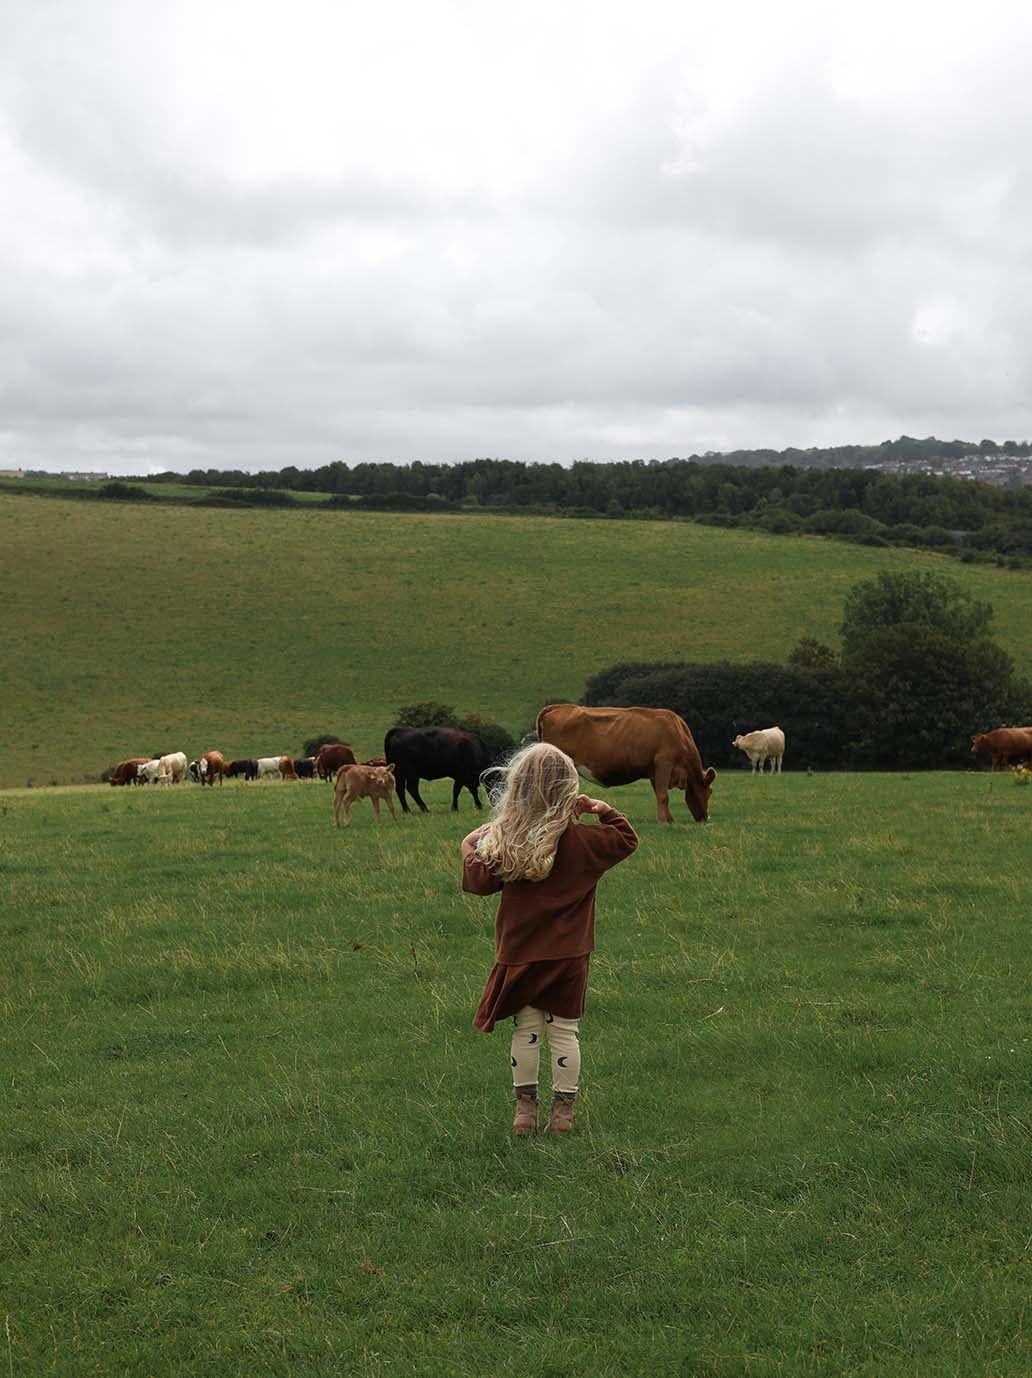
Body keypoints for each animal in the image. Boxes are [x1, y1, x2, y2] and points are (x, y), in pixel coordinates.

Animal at [534, 705, 710, 821]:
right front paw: (664, 822)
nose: (705, 818)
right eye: (710, 792)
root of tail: (558, 706)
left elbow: (659, 794)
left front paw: (669, 819)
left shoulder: (654, 769)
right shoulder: (664, 762)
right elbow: (663, 796)